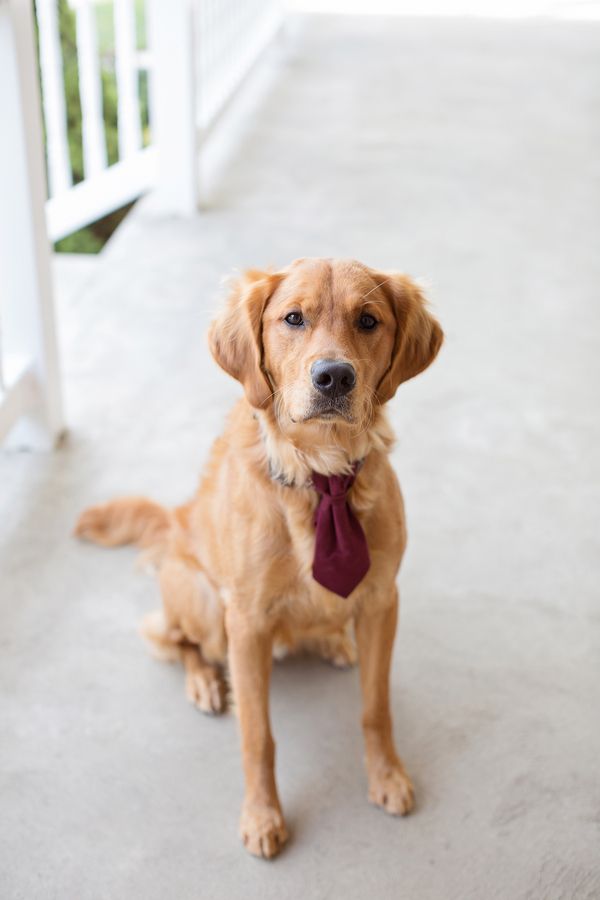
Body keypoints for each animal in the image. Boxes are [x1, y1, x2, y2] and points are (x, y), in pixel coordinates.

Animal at [75, 258, 442, 856]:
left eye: (368, 320)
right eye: (293, 318)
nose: (334, 377)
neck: (321, 475)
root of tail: (174, 520)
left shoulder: (382, 600)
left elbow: (375, 708)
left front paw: (386, 776)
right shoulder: (245, 623)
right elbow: (257, 736)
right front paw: (263, 816)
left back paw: (334, 641)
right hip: (205, 605)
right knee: (174, 639)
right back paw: (203, 681)